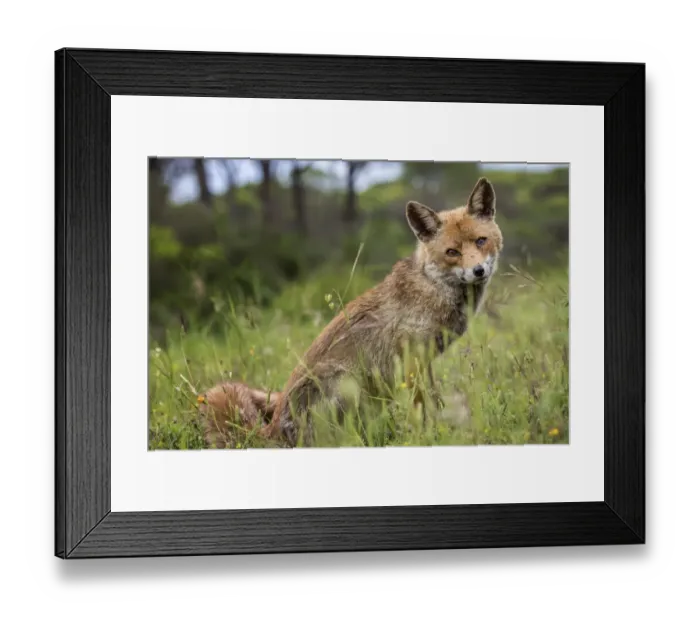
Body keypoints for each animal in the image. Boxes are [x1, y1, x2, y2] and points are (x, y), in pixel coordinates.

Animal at [199, 177, 503, 449]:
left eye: (480, 241)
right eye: (452, 252)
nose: (478, 271)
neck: (433, 286)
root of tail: (271, 433)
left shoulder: (424, 360)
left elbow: (435, 401)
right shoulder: (412, 360)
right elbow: (424, 407)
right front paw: (430, 436)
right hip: (348, 385)